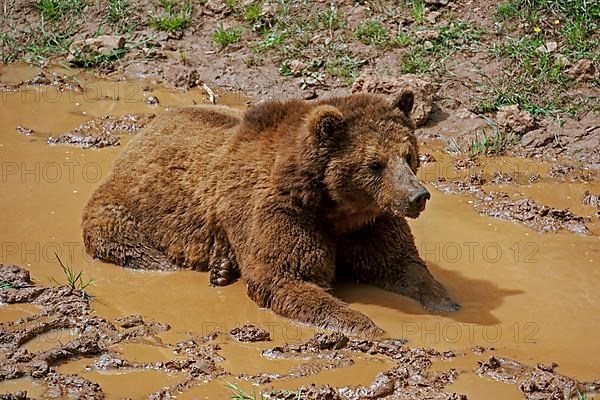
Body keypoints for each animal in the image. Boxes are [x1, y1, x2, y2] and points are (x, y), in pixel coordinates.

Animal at [82, 91, 460, 338]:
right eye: (375, 163)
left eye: (408, 154)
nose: (417, 196)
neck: (334, 206)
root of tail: (141, 133)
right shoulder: (281, 212)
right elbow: (285, 277)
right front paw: (373, 328)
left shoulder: (369, 223)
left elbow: (402, 264)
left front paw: (449, 304)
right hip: (125, 208)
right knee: (131, 247)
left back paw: (223, 270)